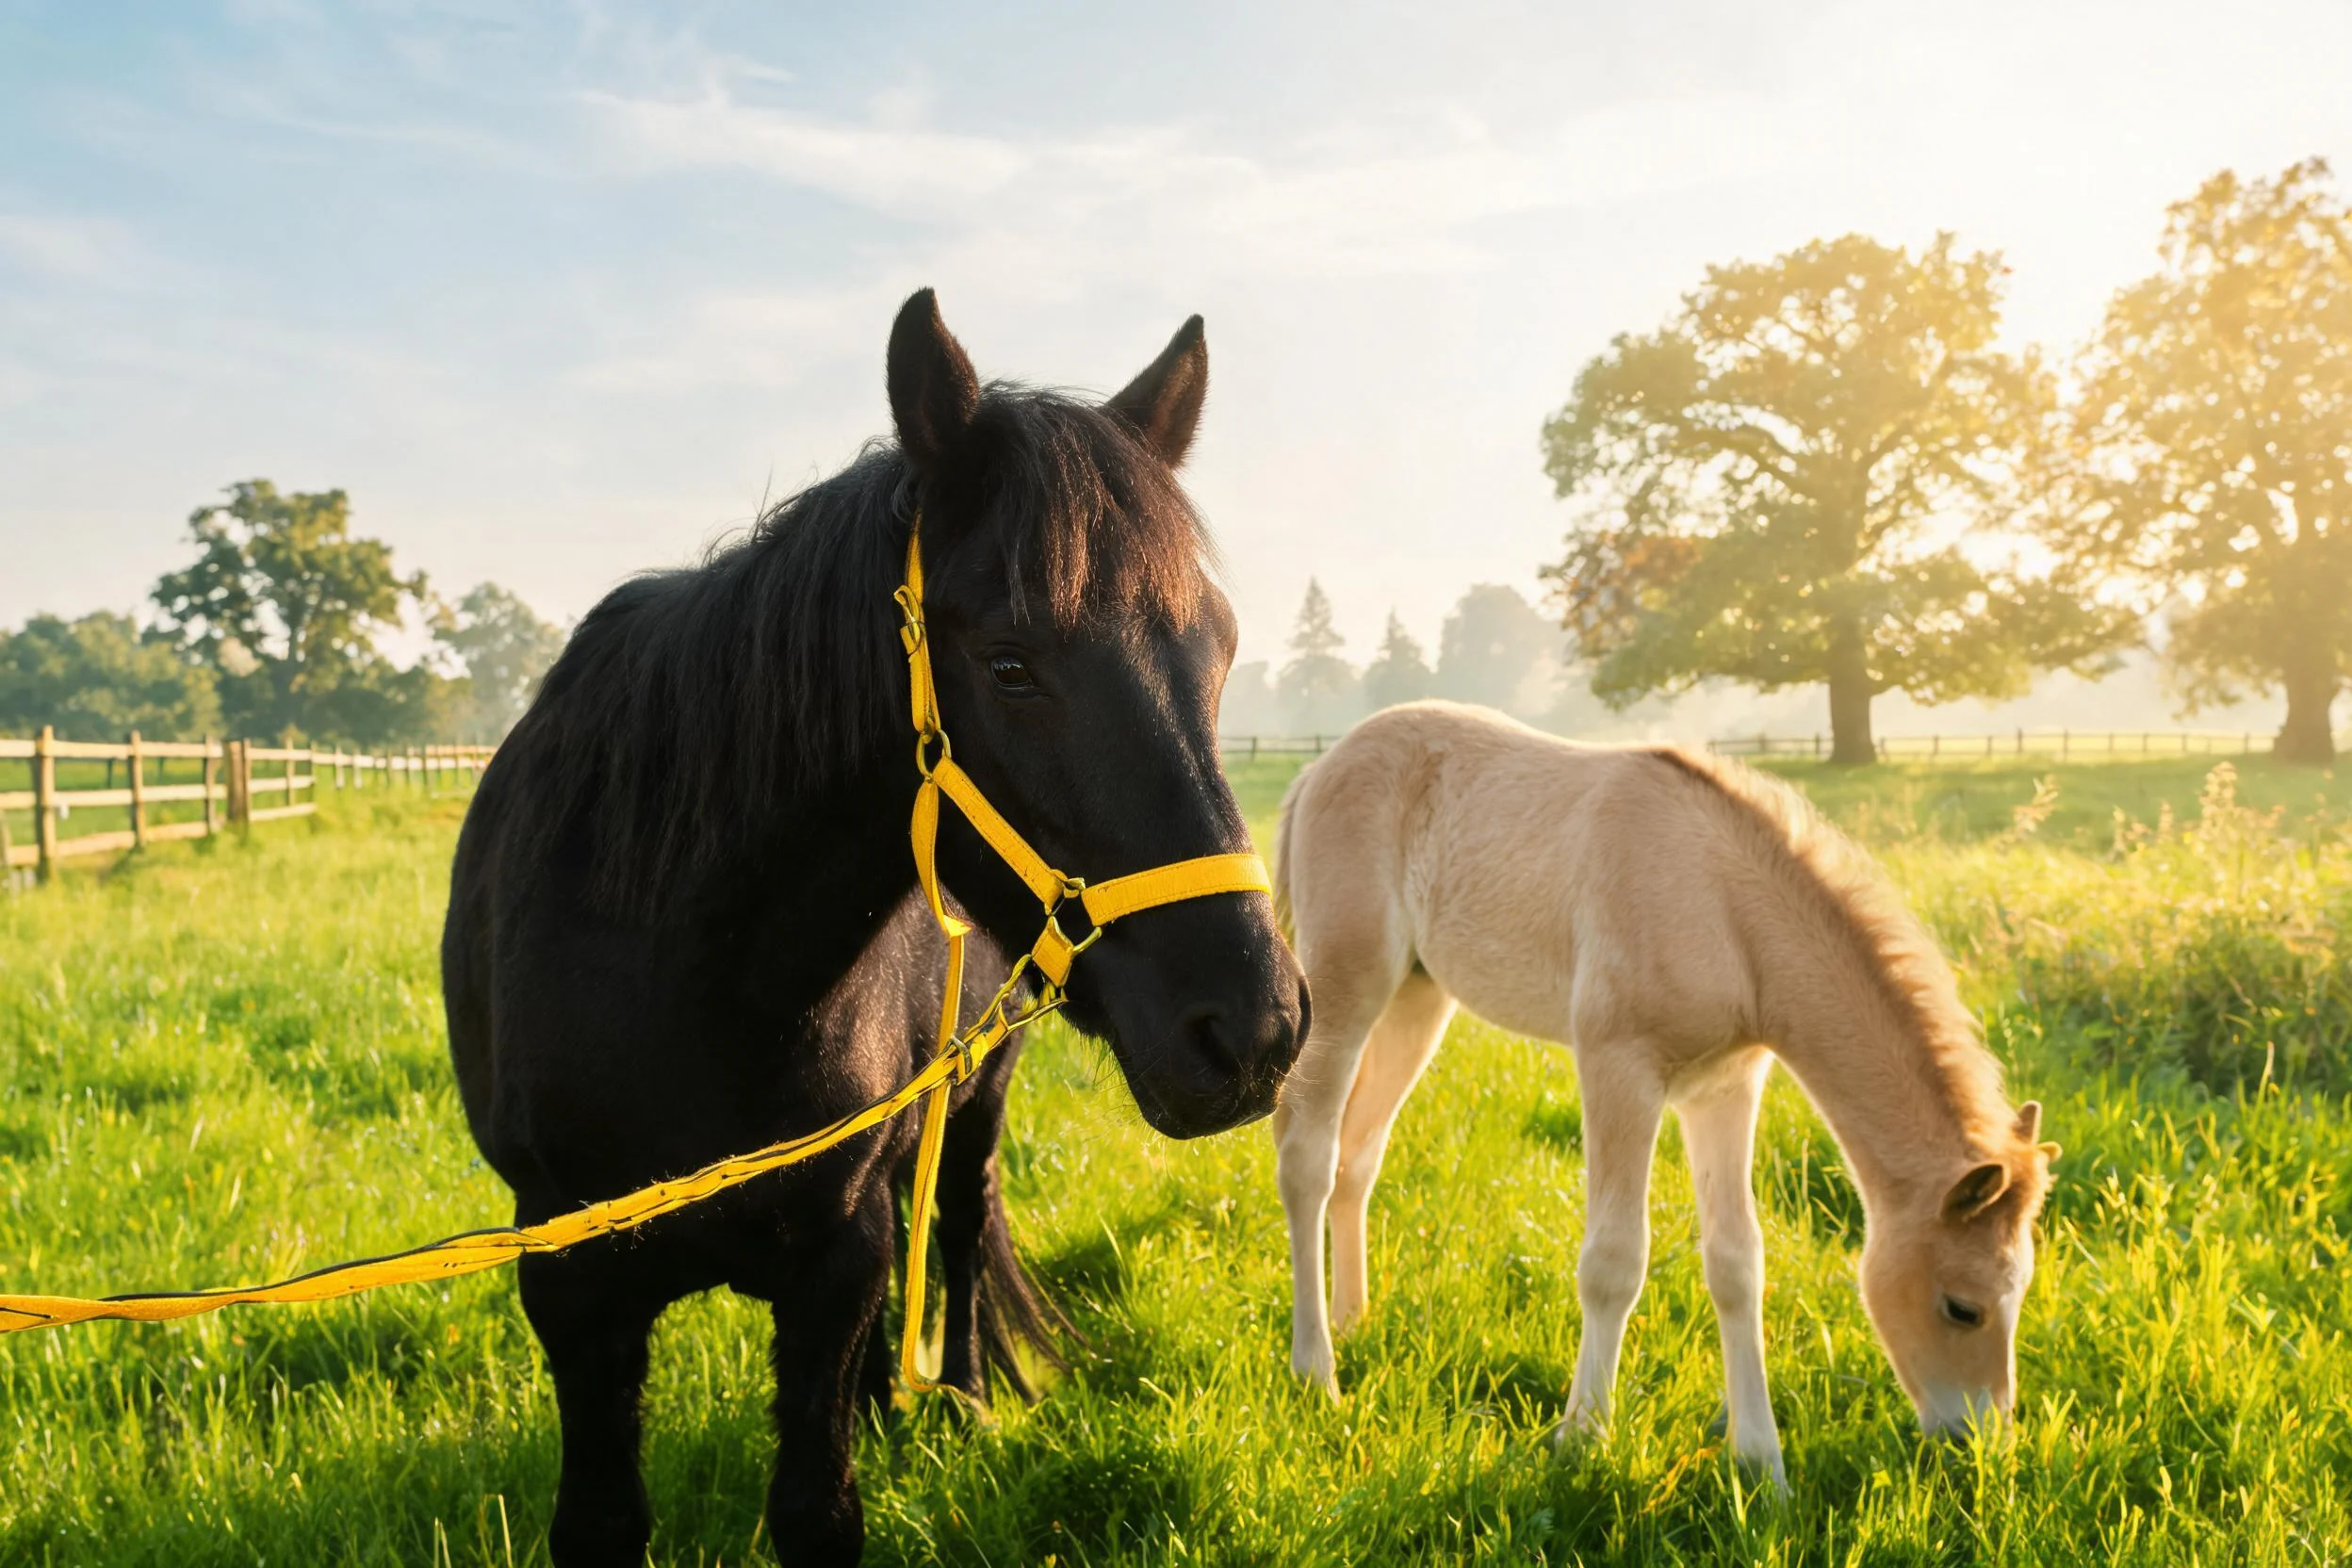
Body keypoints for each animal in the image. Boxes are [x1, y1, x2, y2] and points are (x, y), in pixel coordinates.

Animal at [441, 291, 1306, 1567]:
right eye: (1009, 664)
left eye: (1220, 649)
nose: (1255, 1028)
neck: (684, 973)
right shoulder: (570, 1280)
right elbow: (605, 1518)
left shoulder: (834, 1256)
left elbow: (818, 1506)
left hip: (978, 1097)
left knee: (955, 1220)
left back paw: (959, 1396)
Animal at [1268, 702, 2057, 1487]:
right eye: (1962, 1307)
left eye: (2018, 1291)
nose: (1980, 1445)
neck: (1726, 911)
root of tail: (1318, 769)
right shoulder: (1619, 1067)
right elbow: (1614, 1261)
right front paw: (1583, 1437)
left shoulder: (1725, 1087)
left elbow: (1738, 1261)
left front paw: (1762, 1464)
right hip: (1348, 986)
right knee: (1308, 1156)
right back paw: (1316, 1371)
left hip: (1418, 998)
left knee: (1358, 1155)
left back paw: (1354, 1320)